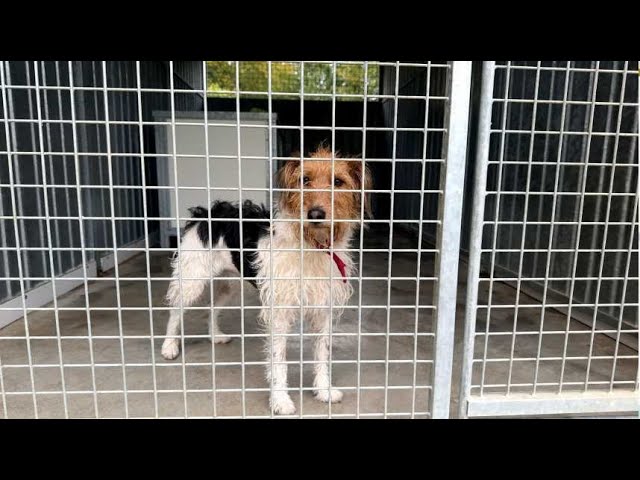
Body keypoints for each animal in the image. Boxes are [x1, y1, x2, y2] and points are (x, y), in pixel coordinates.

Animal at [160, 144, 372, 414]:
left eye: (338, 181)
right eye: (304, 180)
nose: (315, 214)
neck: (310, 246)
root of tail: (205, 212)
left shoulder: (322, 309)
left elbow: (322, 355)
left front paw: (323, 390)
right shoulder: (279, 312)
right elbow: (278, 361)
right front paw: (280, 401)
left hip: (231, 285)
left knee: (212, 308)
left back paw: (215, 335)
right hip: (192, 279)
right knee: (175, 311)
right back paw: (169, 346)